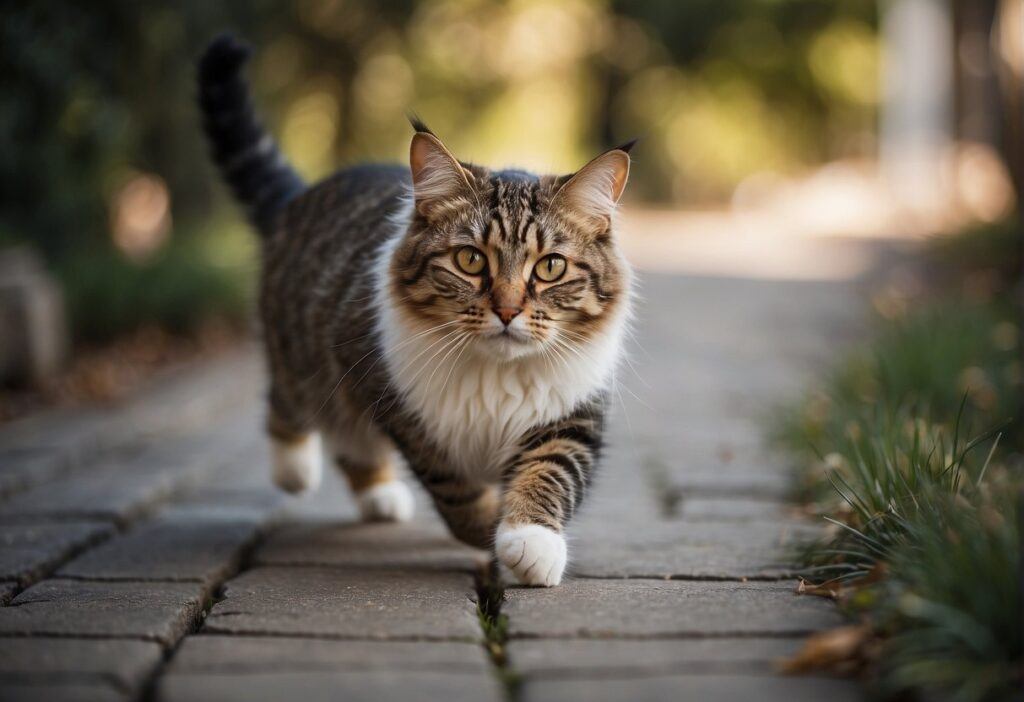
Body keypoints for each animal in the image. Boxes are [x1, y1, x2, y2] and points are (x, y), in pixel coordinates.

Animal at [195, 34, 630, 589]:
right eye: (471, 260)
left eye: (550, 267)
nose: (508, 310)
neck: (495, 376)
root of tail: (303, 195)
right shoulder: (398, 405)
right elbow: (455, 491)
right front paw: (489, 530)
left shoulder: (571, 415)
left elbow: (548, 474)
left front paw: (528, 541)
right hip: (311, 363)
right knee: (290, 406)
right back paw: (297, 471)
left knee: (349, 443)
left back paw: (380, 497)